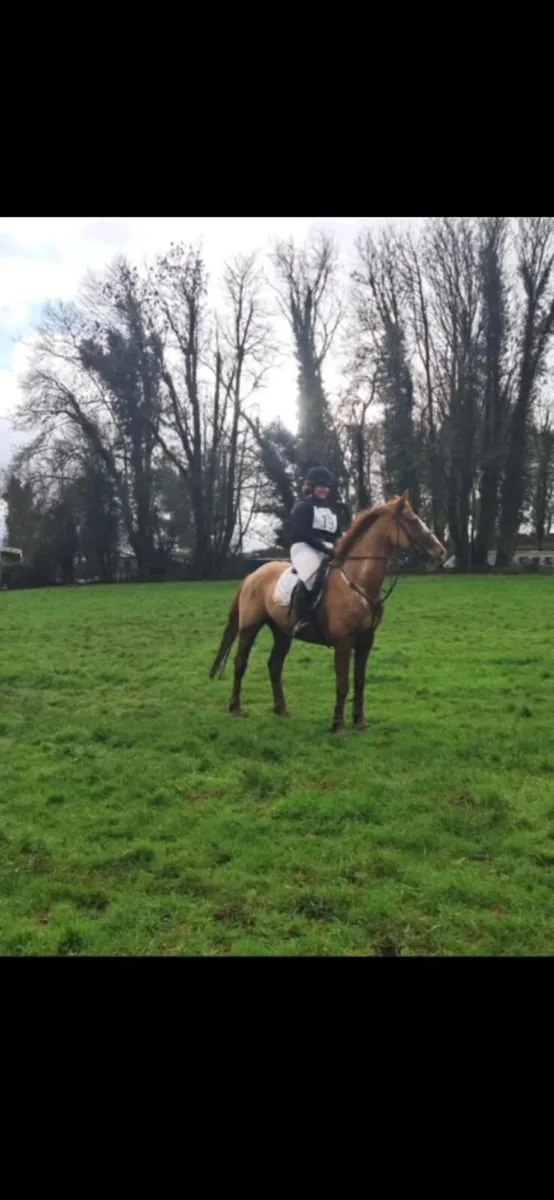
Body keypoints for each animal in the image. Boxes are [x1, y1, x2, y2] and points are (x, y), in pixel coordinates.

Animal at [209, 492, 446, 734]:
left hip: (282, 632)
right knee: (240, 662)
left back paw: (281, 709)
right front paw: (338, 725)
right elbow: (342, 684)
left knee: (275, 666)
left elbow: (359, 682)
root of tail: (253, 575)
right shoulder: (343, 642)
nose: (441, 552)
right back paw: (235, 707)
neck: (358, 584)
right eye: (412, 520)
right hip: (250, 626)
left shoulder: (365, 641)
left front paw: (360, 721)